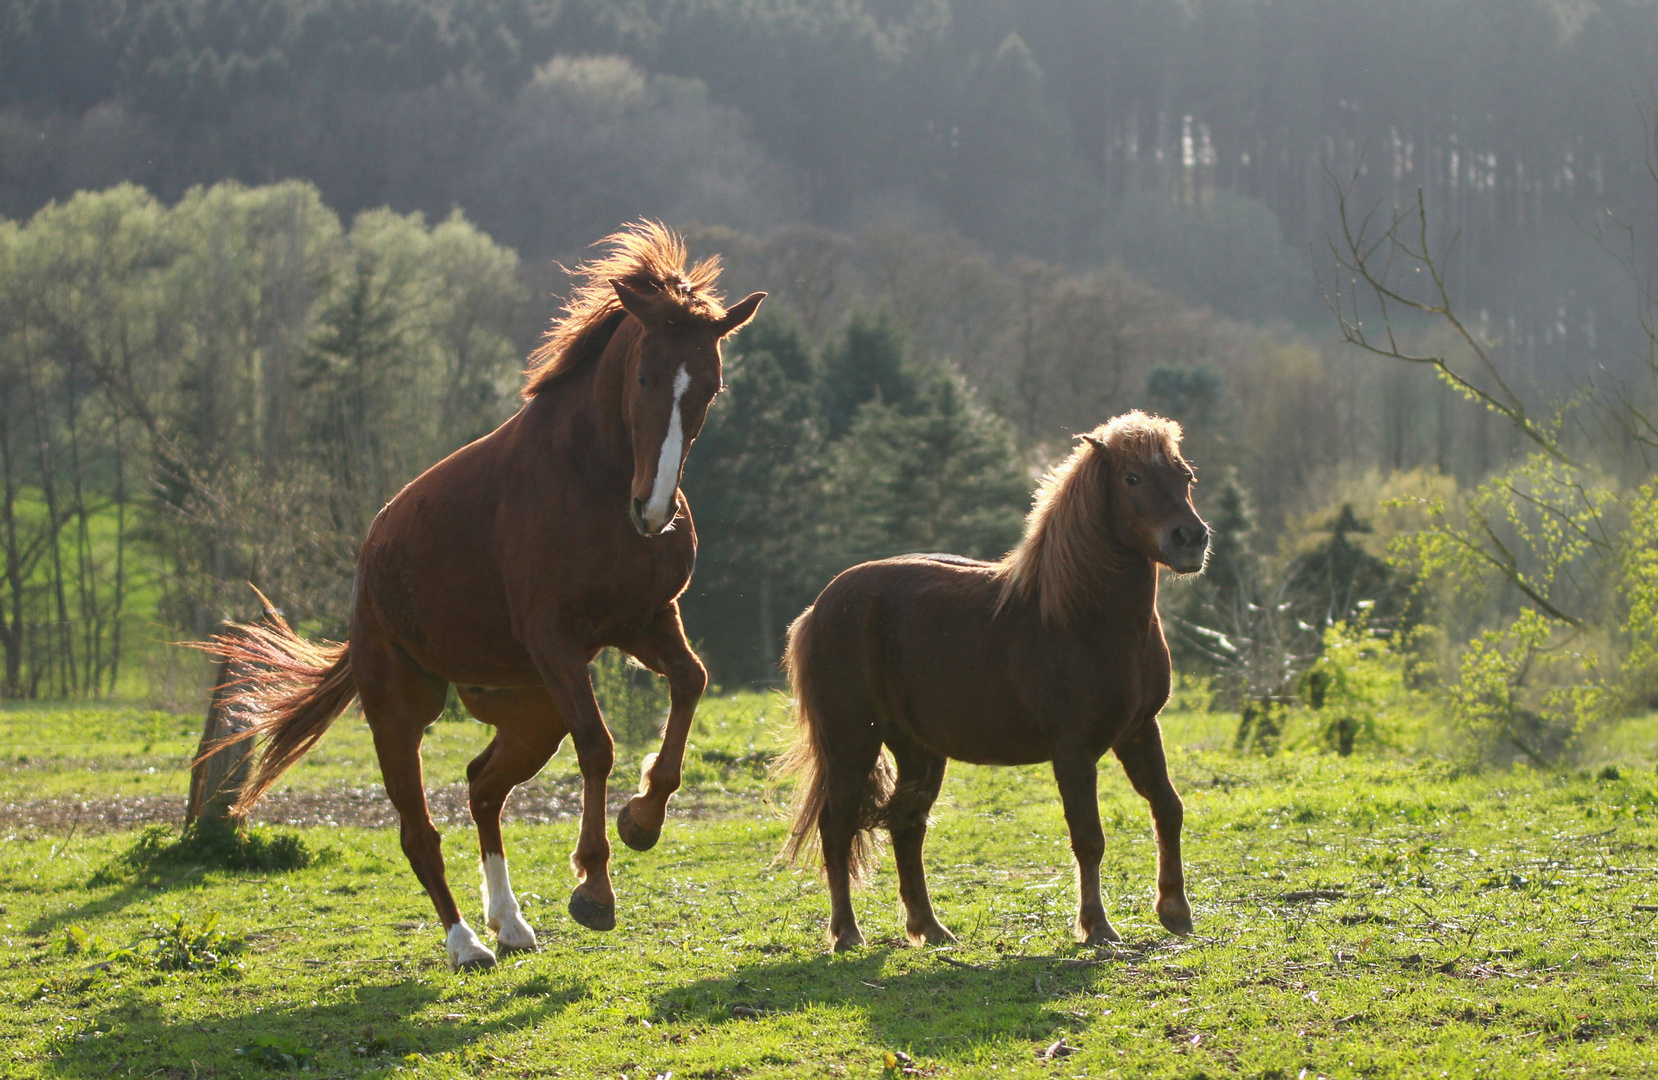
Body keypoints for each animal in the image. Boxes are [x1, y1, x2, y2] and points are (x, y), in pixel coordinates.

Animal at [202, 222, 762, 968]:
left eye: (710, 386)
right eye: (644, 375)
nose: (653, 511)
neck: (590, 477)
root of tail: (368, 563)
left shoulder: (645, 620)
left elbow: (691, 683)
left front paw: (642, 819)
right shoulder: (557, 638)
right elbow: (599, 746)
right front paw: (595, 887)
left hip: (531, 712)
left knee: (482, 785)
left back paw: (511, 922)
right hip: (401, 710)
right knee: (420, 830)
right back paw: (467, 941)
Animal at [769, 409, 1213, 948]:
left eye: (1185, 477)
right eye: (1132, 478)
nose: (1190, 540)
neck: (1081, 618)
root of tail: (818, 609)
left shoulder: (1140, 730)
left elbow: (1168, 808)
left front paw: (1175, 911)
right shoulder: (1073, 749)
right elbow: (1089, 837)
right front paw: (1097, 926)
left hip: (917, 749)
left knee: (906, 824)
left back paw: (930, 927)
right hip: (851, 740)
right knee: (837, 826)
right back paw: (848, 934)